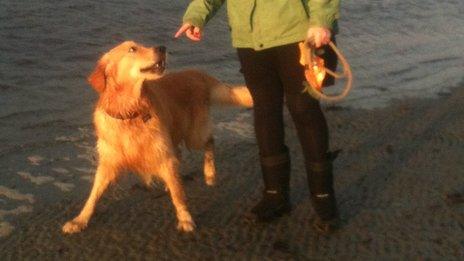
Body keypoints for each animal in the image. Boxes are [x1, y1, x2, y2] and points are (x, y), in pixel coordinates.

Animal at [61, 41, 252, 234]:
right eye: (132, 49)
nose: (162, 48)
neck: (129, 113)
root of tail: (196, 73)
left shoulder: (163, 155)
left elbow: (178, 194)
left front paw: (185, 217)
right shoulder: (109, 163)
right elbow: (93, 195)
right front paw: (80, 220)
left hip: (193, 134)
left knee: (209, 142)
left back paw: (210, 173)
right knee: (182, 154)